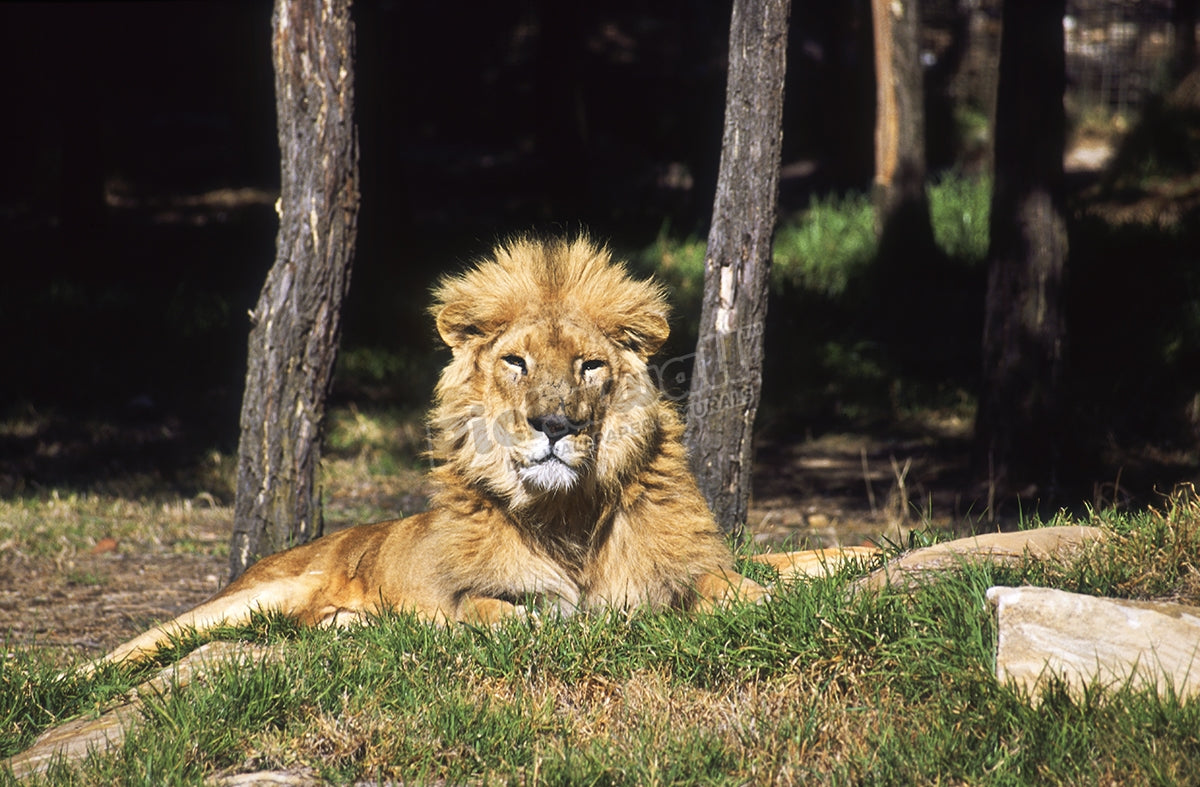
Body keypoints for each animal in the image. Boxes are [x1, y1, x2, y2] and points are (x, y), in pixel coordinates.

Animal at [97, 236, 870, 669]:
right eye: (516, 362)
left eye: (590, 365)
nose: (554, 423)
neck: (567, 514)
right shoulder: (468, 596)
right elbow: (491, 611)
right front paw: (551, 621)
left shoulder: (690, 565)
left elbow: (744, 582)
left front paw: (828, 572)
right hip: (245, 600)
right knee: (129, 651)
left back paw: (347, 626)